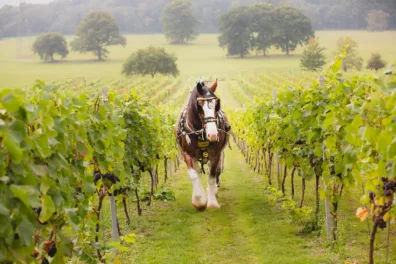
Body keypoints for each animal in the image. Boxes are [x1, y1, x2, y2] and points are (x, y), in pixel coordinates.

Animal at [176, 78, 230, 210]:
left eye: (216, 105)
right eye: (199, 105)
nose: (213, 134)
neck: (200, 133)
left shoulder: (215, 154)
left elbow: (212, 176)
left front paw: (212, 202)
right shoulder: (187, 153)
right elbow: (194, 175)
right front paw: (199, 201)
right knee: (198, 173)